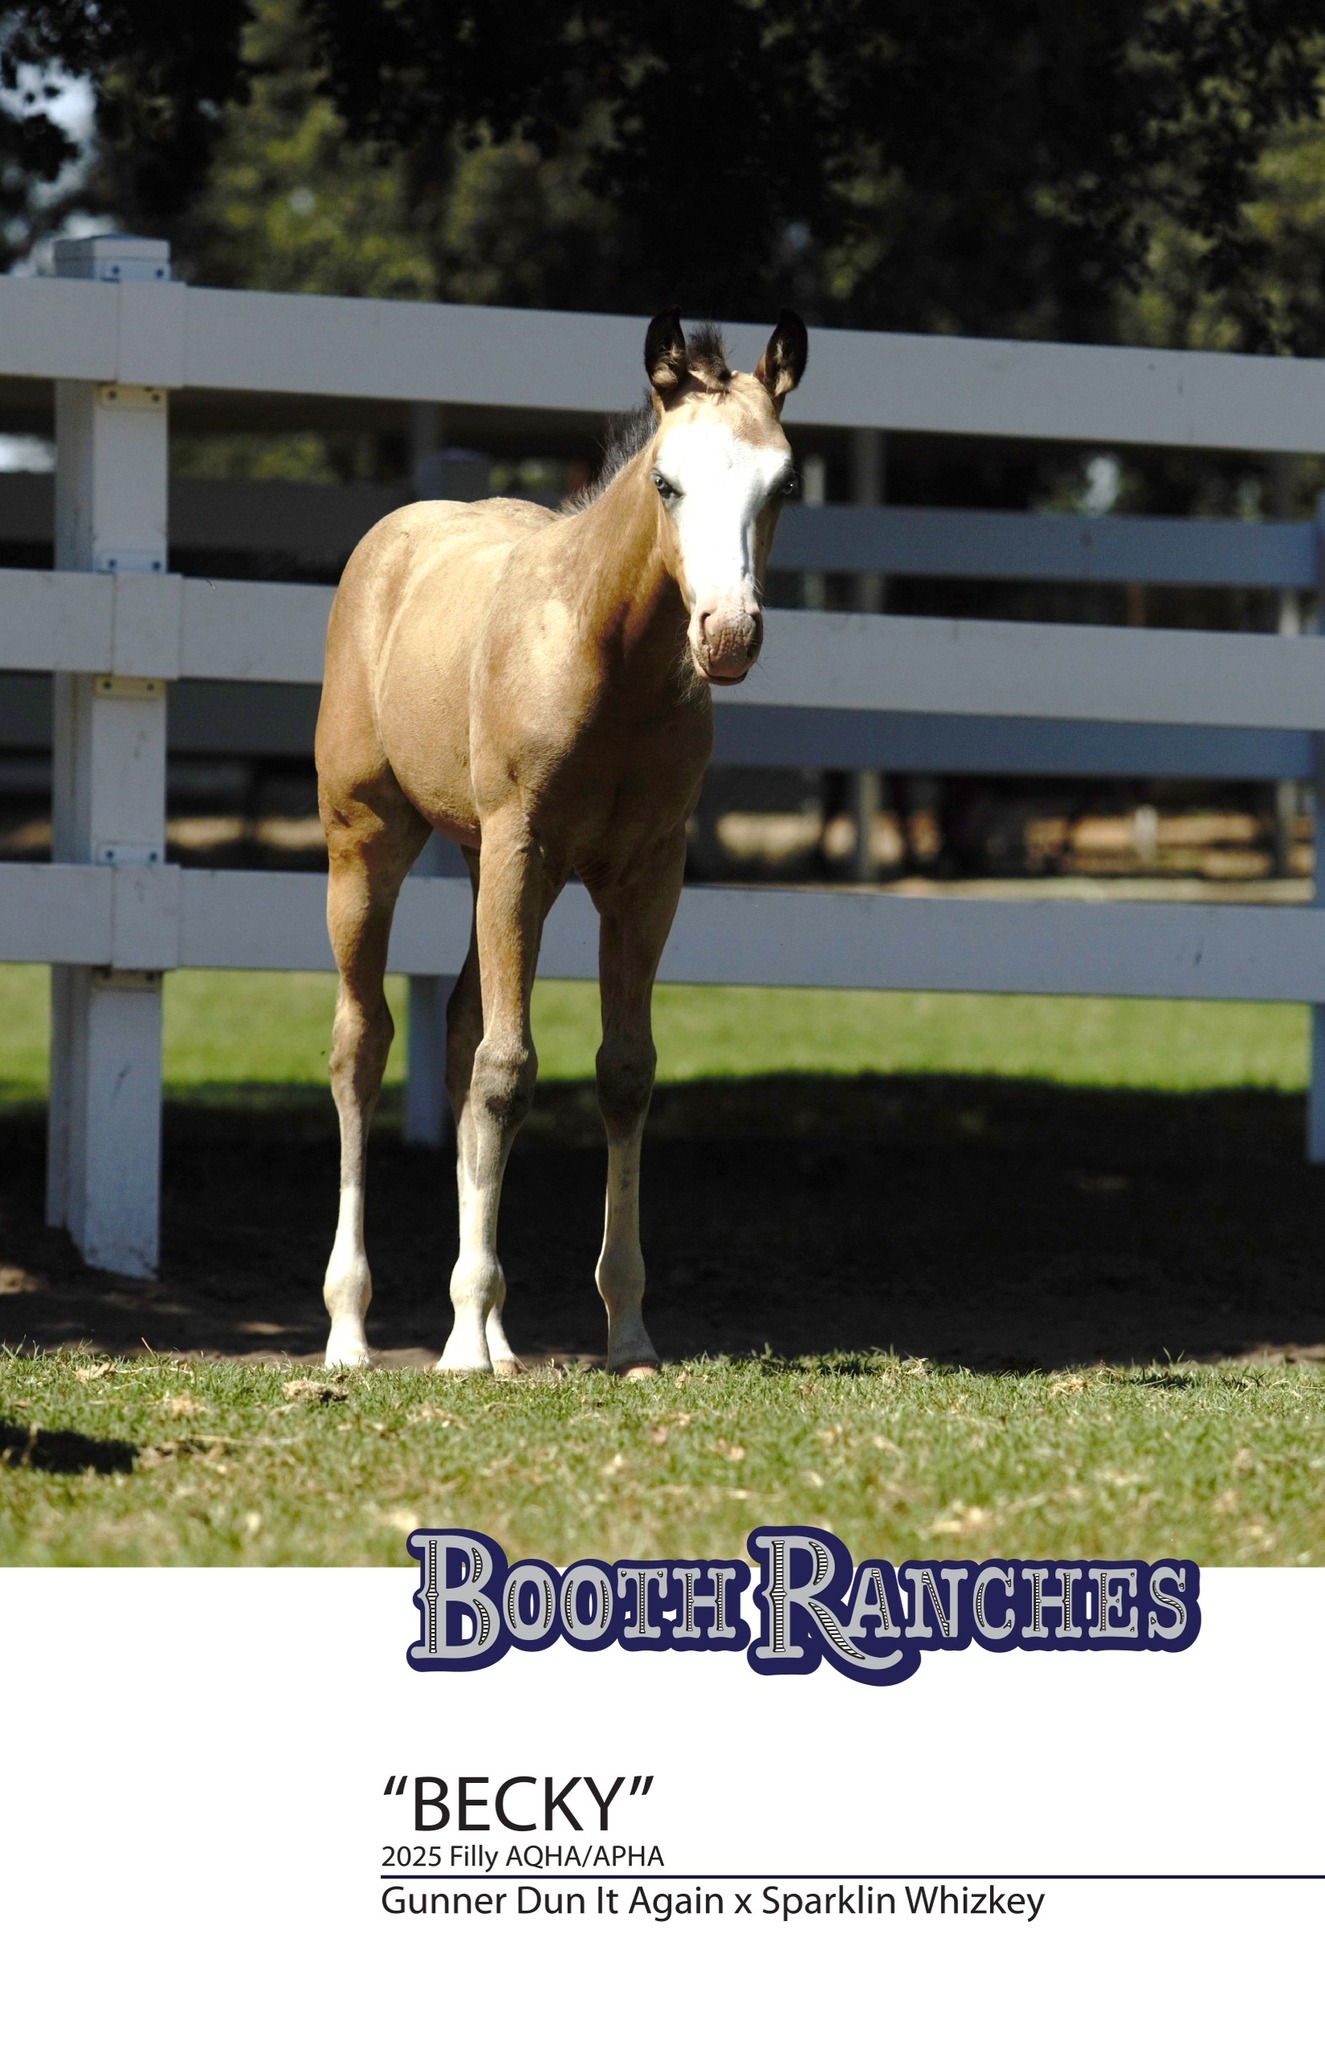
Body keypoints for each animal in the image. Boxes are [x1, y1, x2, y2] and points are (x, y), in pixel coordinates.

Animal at [315, 306, 808, 1376]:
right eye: (665, 482)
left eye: (783, 484)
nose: (728, 635)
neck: (605, 653)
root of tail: (395, 534)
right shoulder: (522, 846)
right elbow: (508, 1072)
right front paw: (461, 1340)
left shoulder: (646, 873)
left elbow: (621, 1071)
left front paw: (625, 1328)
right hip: (367, 841)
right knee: (361, 1044)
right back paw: (352, 1331)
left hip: (487, 865)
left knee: (458, 1031)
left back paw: (500, 1337)